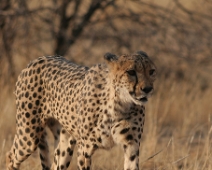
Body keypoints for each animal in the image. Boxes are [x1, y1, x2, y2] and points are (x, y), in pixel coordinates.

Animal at [6, 51, 156, 169]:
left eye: (151, 72)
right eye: (131, 72)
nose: (147, 89)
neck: (121, 103)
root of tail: (36, 60)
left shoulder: (131, 146)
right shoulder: (85, 150)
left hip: (65, 142)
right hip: (29, 136)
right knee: (10, 157)